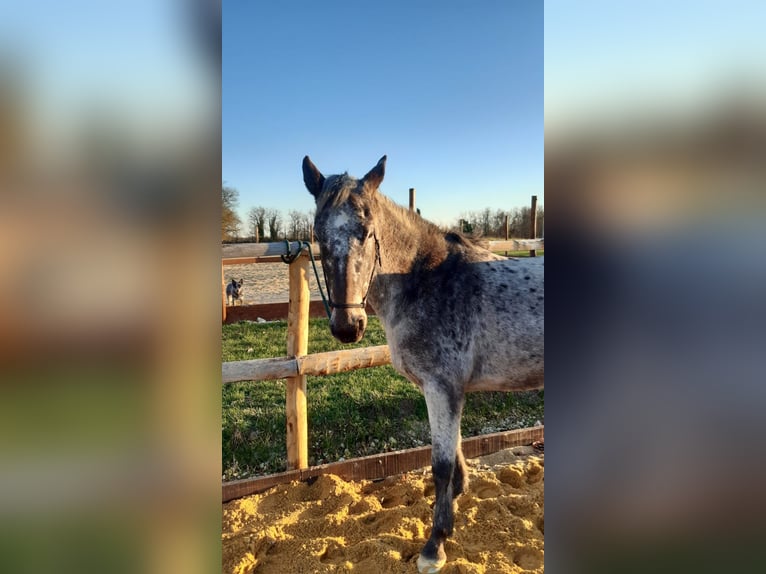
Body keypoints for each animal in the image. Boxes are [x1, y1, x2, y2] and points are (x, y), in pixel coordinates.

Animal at [302, 155, 544, 572]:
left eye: (367, 232)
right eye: (318, 236)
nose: (348, 326)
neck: (426, 279)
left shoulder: (441, 388)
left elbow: (441, 465)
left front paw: (435, 544)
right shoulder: (447, 390)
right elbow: (456, 456)